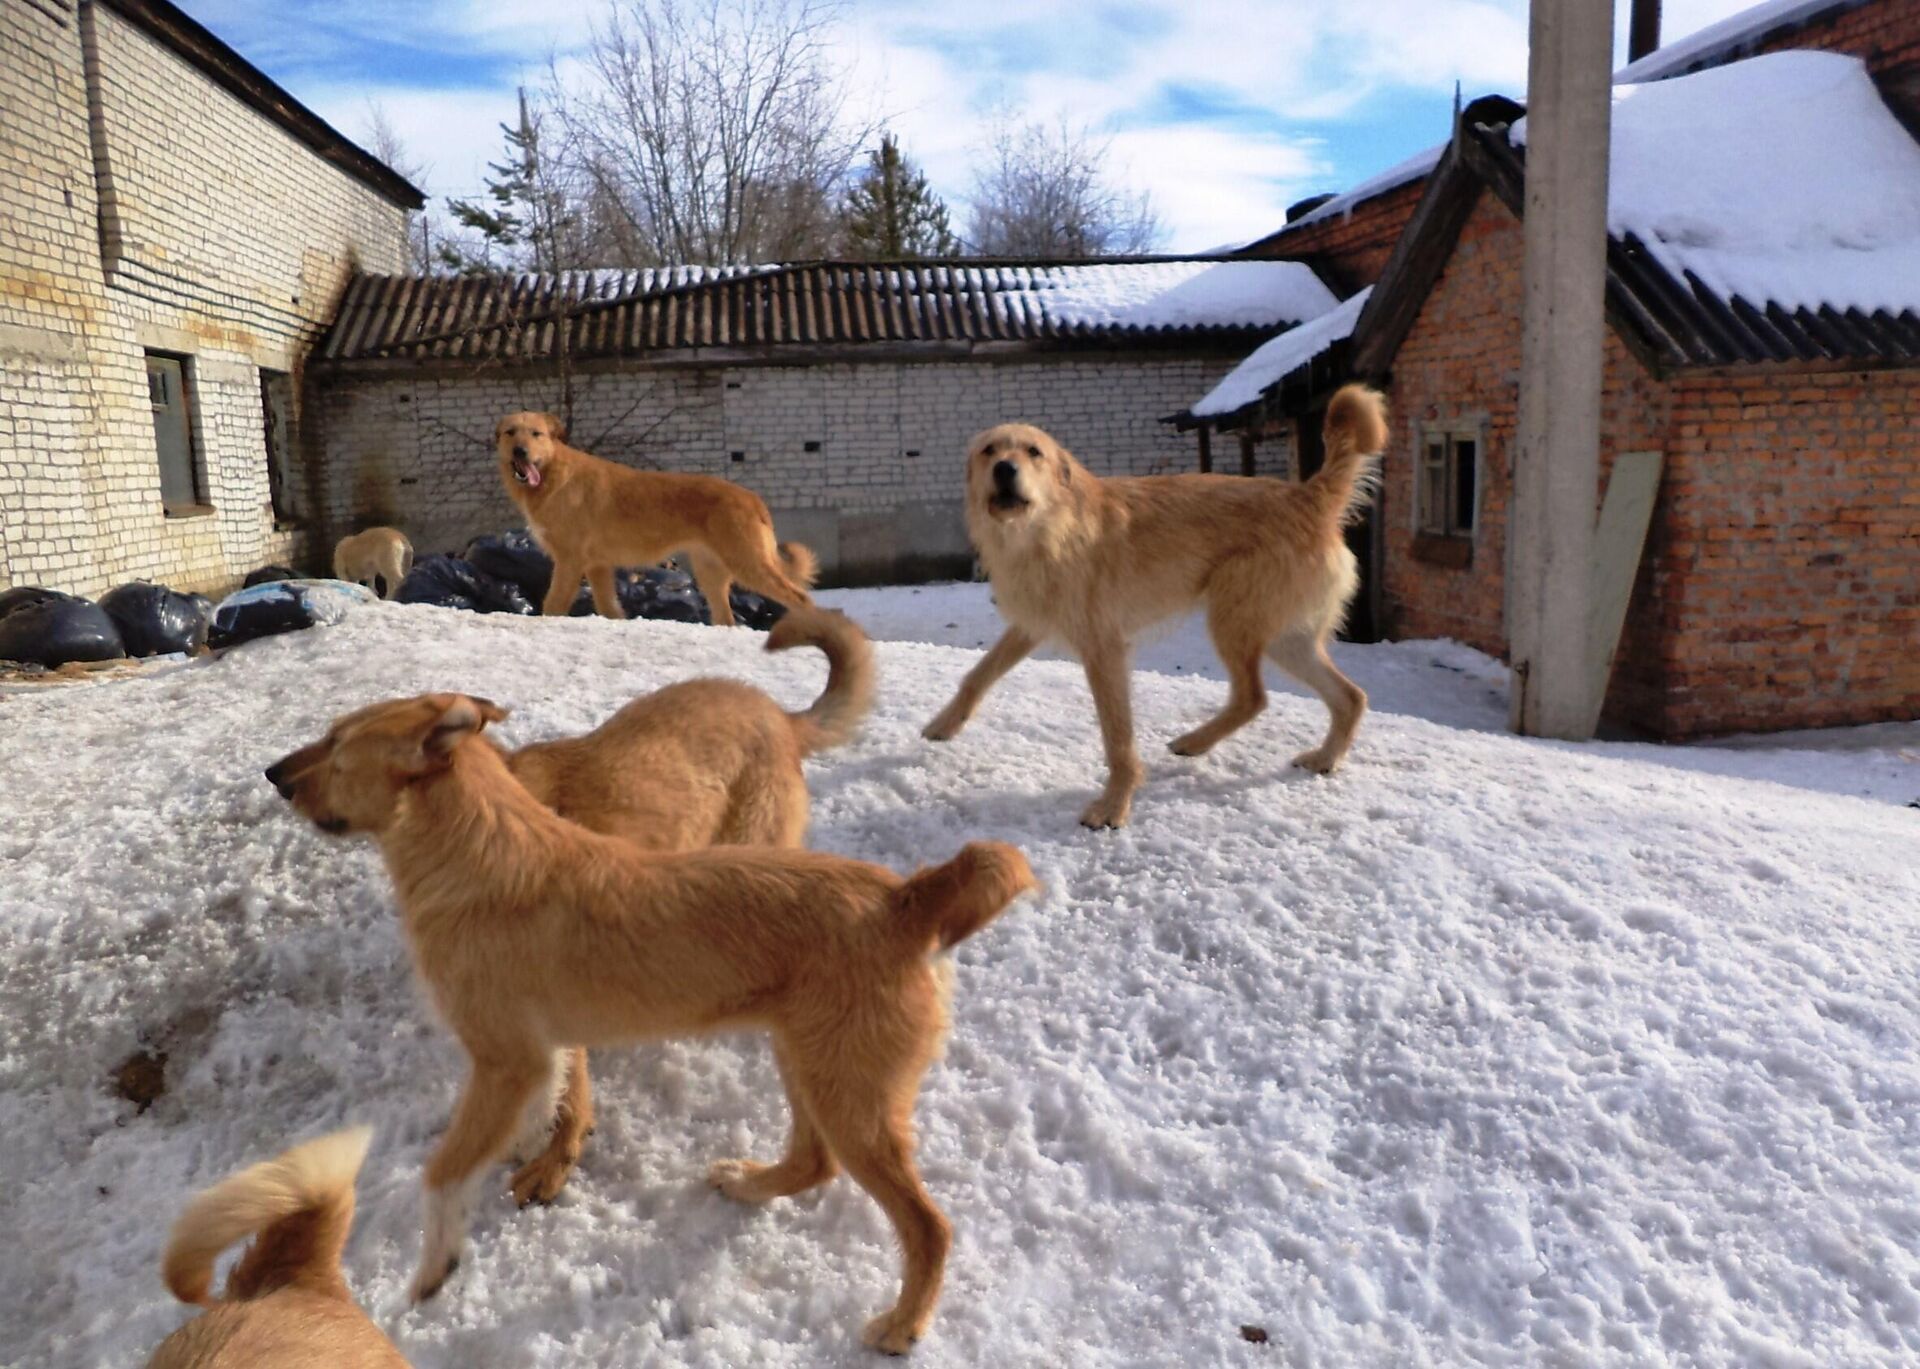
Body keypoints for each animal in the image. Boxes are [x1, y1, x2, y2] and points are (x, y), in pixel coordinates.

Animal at [266, 687, 1036, 1351]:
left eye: (337, 746)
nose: (272, 774)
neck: (476, 846)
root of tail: (910, 899)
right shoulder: (540, 1053)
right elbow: (547, 1106)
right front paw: (528, 1149)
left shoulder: (505, 1057)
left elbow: (444, 1169)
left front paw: (436, 1264)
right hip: (810, 1063)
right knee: (814, 1162)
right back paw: (751, 1184)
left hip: (851, 1095)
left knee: (928, 1226)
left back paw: (903, 1325)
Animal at [495, 410, 817, 625]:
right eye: (511, 432)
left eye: (536, 433)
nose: (520, 452)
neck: (551, 474)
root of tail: (752, 498)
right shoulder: (598, 566)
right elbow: (610, 607)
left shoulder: (569, 560)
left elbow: (553, 604)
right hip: (711, 573)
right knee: (727, 619)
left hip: (748, 563)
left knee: (800, 598)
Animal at [921, 387, 1390, 833]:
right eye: (989, 450)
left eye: (1033, 452)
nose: (1005, 469)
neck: (1045, 531)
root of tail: (1308, 495)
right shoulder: (1031, 625)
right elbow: (978, 675)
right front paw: (945, 724)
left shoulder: (1104, 651)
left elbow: (1117, 738)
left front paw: (1114, 807)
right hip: (1285, 639)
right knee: (1348, 696)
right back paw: (1320, 757)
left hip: (1235, 621)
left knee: (1254, 696)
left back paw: (1203, 741)